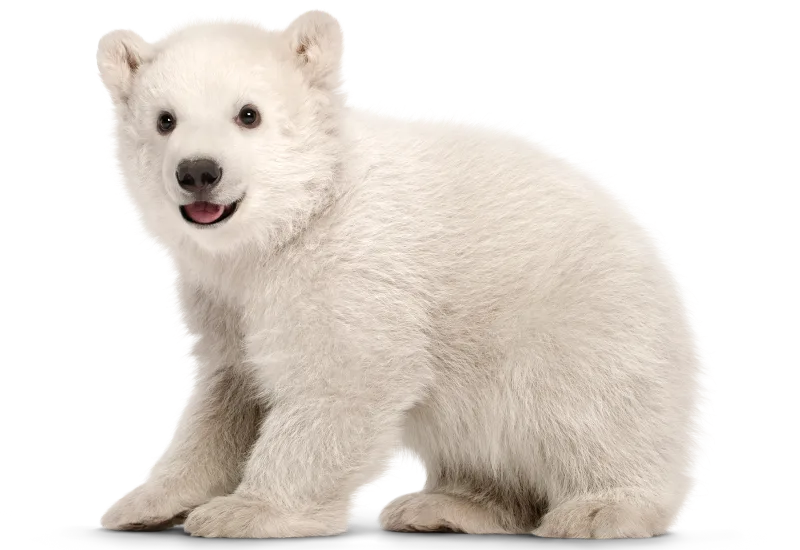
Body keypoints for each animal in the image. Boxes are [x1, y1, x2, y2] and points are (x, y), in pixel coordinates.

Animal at [96, 9, 709, 539]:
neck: (298, 217)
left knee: (585, 411)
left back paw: (602, 508)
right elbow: (228, 396)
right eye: (165, 120)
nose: (199, 171)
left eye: (249, 114)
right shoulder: (219, 295)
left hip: (587, 322)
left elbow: (341, 381)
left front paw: (246, 512)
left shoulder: (348, 265)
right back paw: (444, 506)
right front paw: (143, 503)